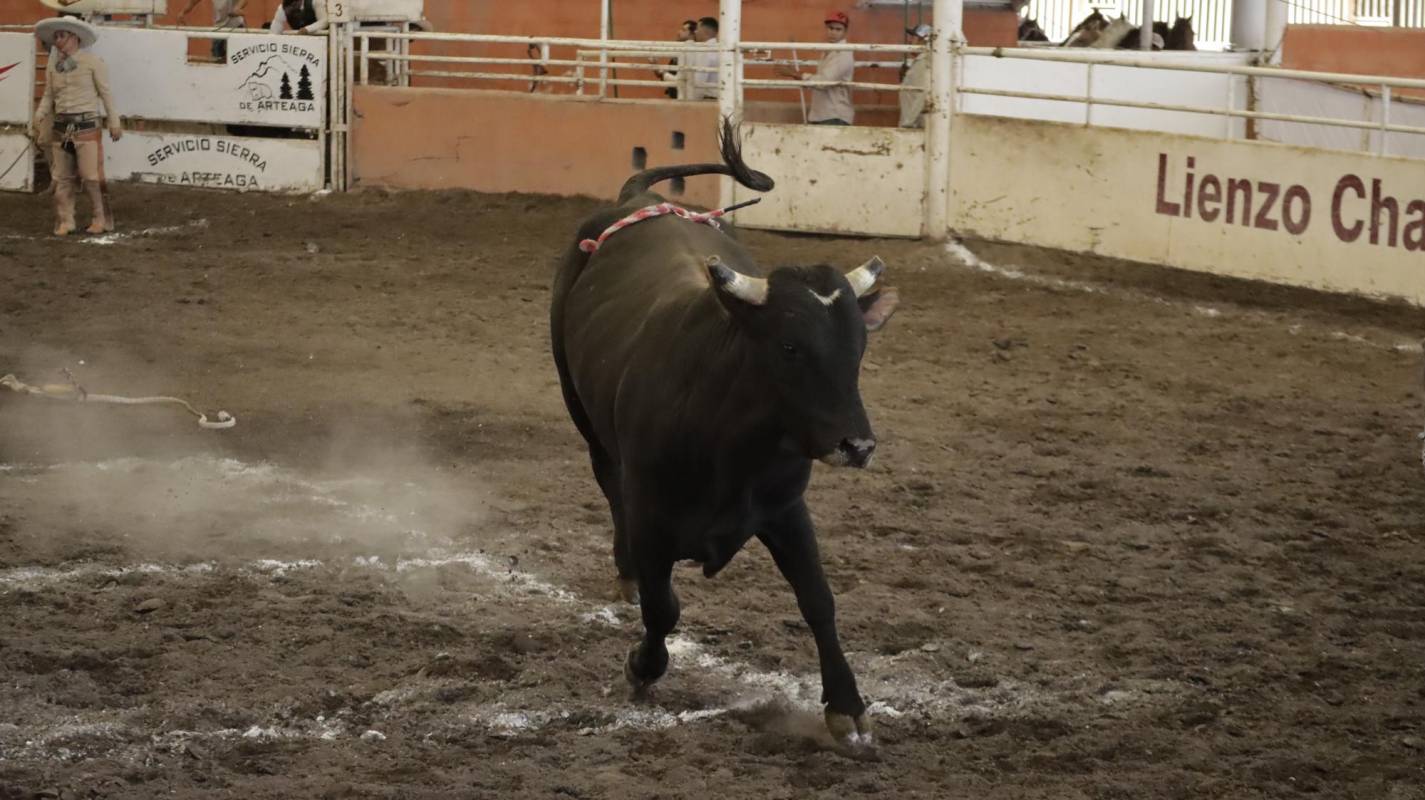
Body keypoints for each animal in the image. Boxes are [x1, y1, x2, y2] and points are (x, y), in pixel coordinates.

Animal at [547, 119, 900, 747]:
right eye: (790, 346)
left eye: (859, 347)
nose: (857, 445)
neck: (729, 441)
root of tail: (635, 199)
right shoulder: (651, 517)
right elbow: (663, 609)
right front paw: (641, 668)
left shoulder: (785, 508)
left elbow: (819, 600)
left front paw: (846, 704)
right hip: (583, 413)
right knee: (608, 487)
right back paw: (625, 575)